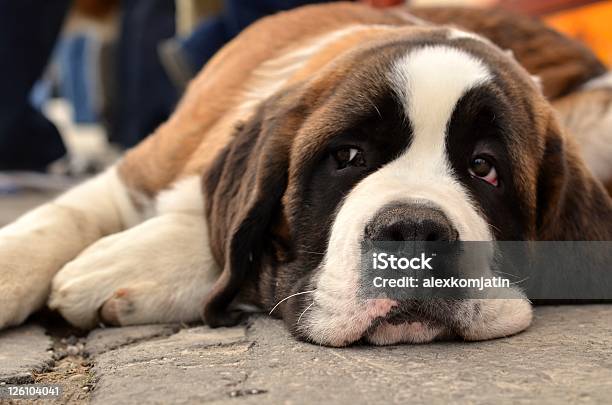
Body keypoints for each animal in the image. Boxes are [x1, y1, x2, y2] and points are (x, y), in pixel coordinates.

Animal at [1, 2, 612, 344]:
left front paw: (132, 265)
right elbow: (66, 216)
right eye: (347, 158)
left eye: (485, 169)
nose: (415, 232)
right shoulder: (143, 170)